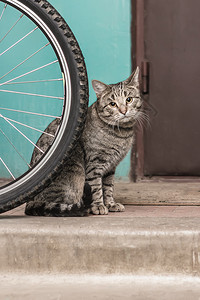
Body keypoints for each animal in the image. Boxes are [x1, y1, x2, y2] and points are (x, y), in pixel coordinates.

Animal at [25, 68, 142, 217]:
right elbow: (96, 188)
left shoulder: (111, 167)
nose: (123, 111)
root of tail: (30, 201)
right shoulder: (95, 163)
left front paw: (110, 204)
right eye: (112, 104)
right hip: (76, 176)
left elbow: (108, 187)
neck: (121, 133)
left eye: (129, 99)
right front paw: (98, 206)